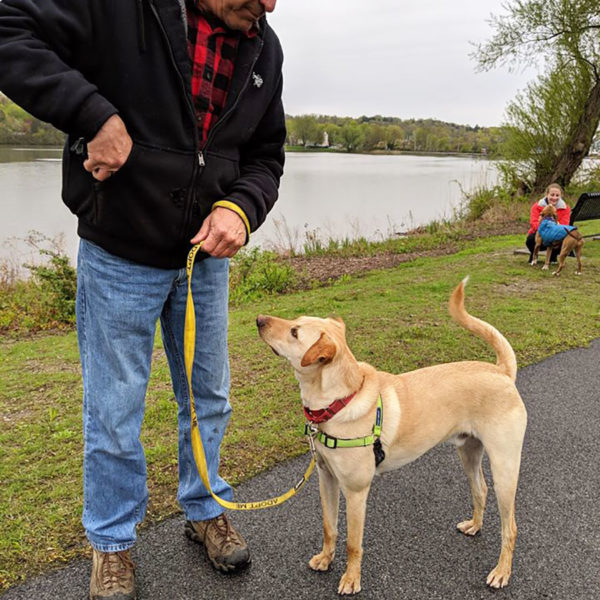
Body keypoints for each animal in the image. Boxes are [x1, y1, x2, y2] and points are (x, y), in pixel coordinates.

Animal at [255, 280, 528, 596]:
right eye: (294, 322)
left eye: (295, 332)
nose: (259, 319)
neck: (340, 401)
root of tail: (502, 371)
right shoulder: (327, 478)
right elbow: (328, 526)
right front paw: (325, 558)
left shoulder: (356, 492)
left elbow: (353, 542)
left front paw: (351, 579)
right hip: (469, 452)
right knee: (480, 490)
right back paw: (475, 525)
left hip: (505, 467)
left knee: (511, 527)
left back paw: (501, 571)